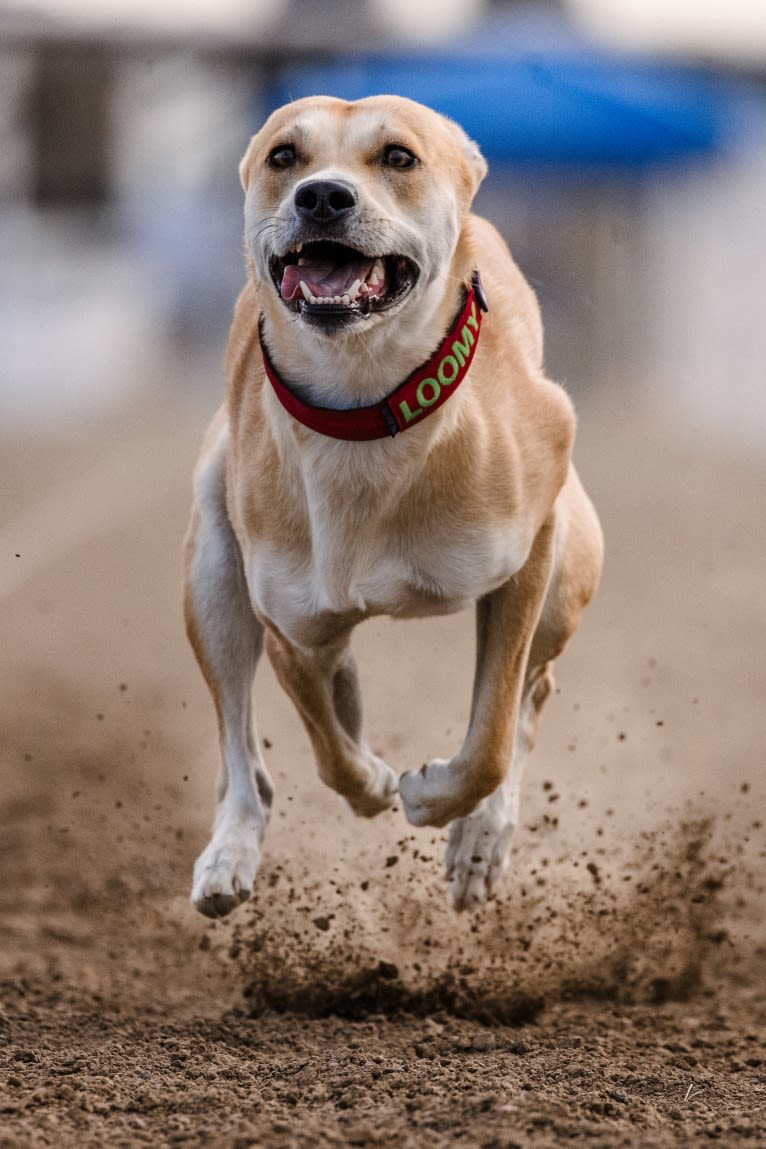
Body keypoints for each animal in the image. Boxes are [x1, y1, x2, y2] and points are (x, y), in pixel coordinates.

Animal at [186, 94, 606, 919]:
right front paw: (375, 783)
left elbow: (492, 734)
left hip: (573, 564)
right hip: (212, 571)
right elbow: (326, 745)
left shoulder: (532, 545)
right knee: (241, 745)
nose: (322, 195)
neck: (363, 410)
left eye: (399, 157)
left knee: (531, 692)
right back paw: (230, 851)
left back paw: (483, 835)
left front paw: (439, 802)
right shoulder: (286, 618)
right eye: (284, 156)